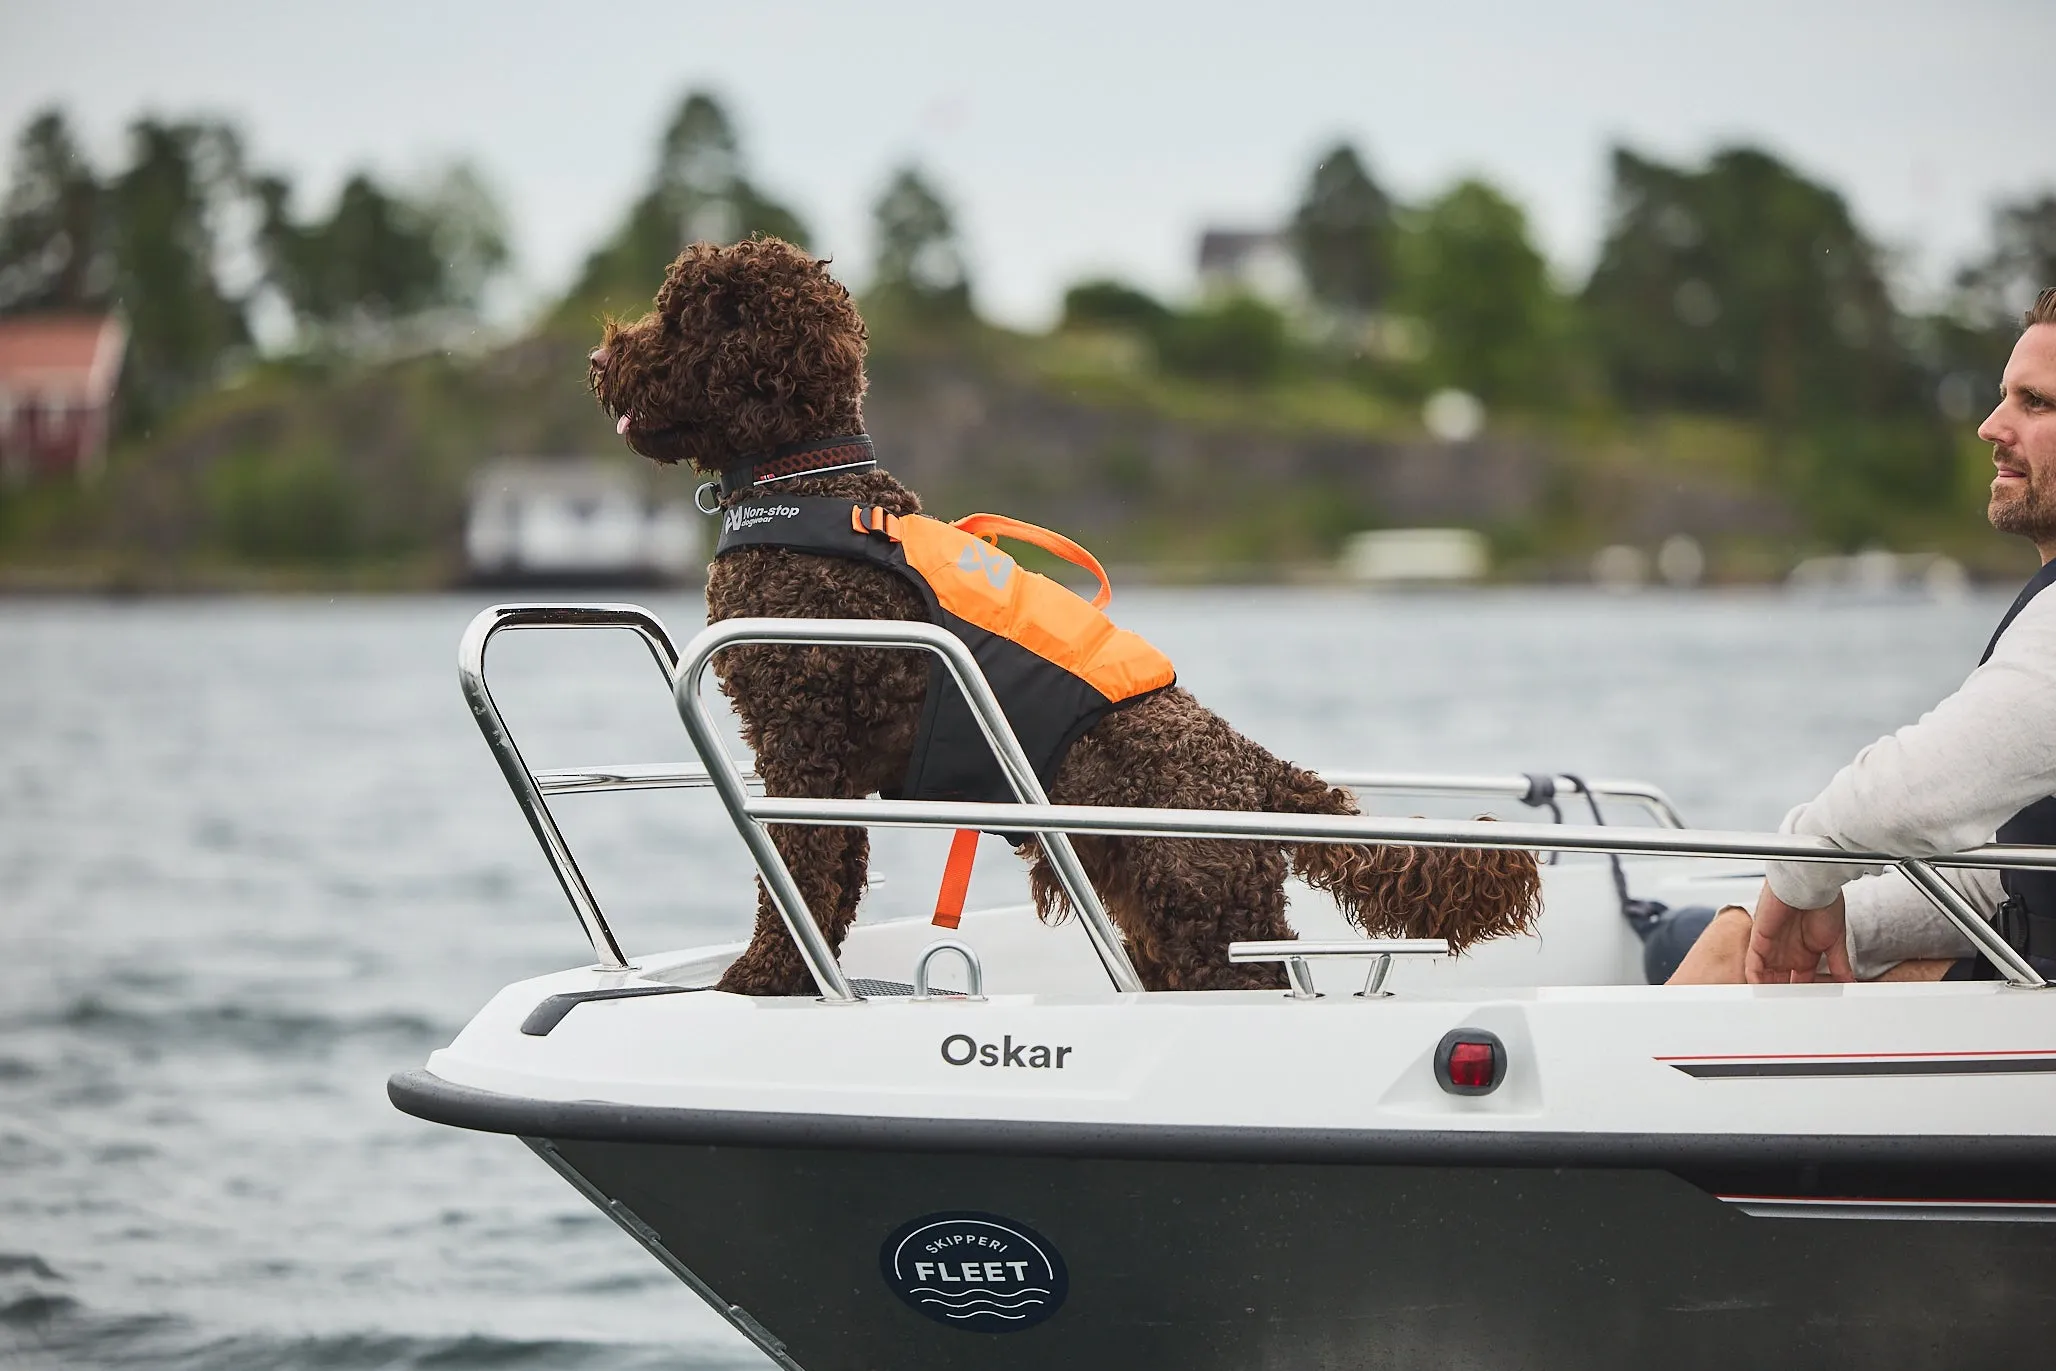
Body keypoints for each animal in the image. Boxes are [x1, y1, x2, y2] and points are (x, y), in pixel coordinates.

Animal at [588, 230, 1537, 990]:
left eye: (678, 320)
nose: (598, 363)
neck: (809, 477)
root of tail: (1255, 767)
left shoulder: (803, 747)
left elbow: (797, 874)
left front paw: (759, 978)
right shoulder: (831, 771)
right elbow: (830, 883)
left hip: (1208, 914)